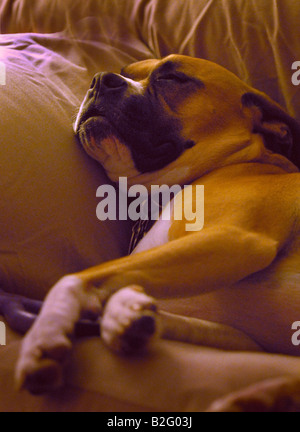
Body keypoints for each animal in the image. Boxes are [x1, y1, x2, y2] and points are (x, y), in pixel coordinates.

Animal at [15, 55, 300, 410]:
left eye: (173, 78)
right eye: (125, 72)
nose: (101, 79)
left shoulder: (234, 240)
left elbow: (75, 278)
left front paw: (44, 335)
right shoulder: (248, 341)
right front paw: (128, 315)